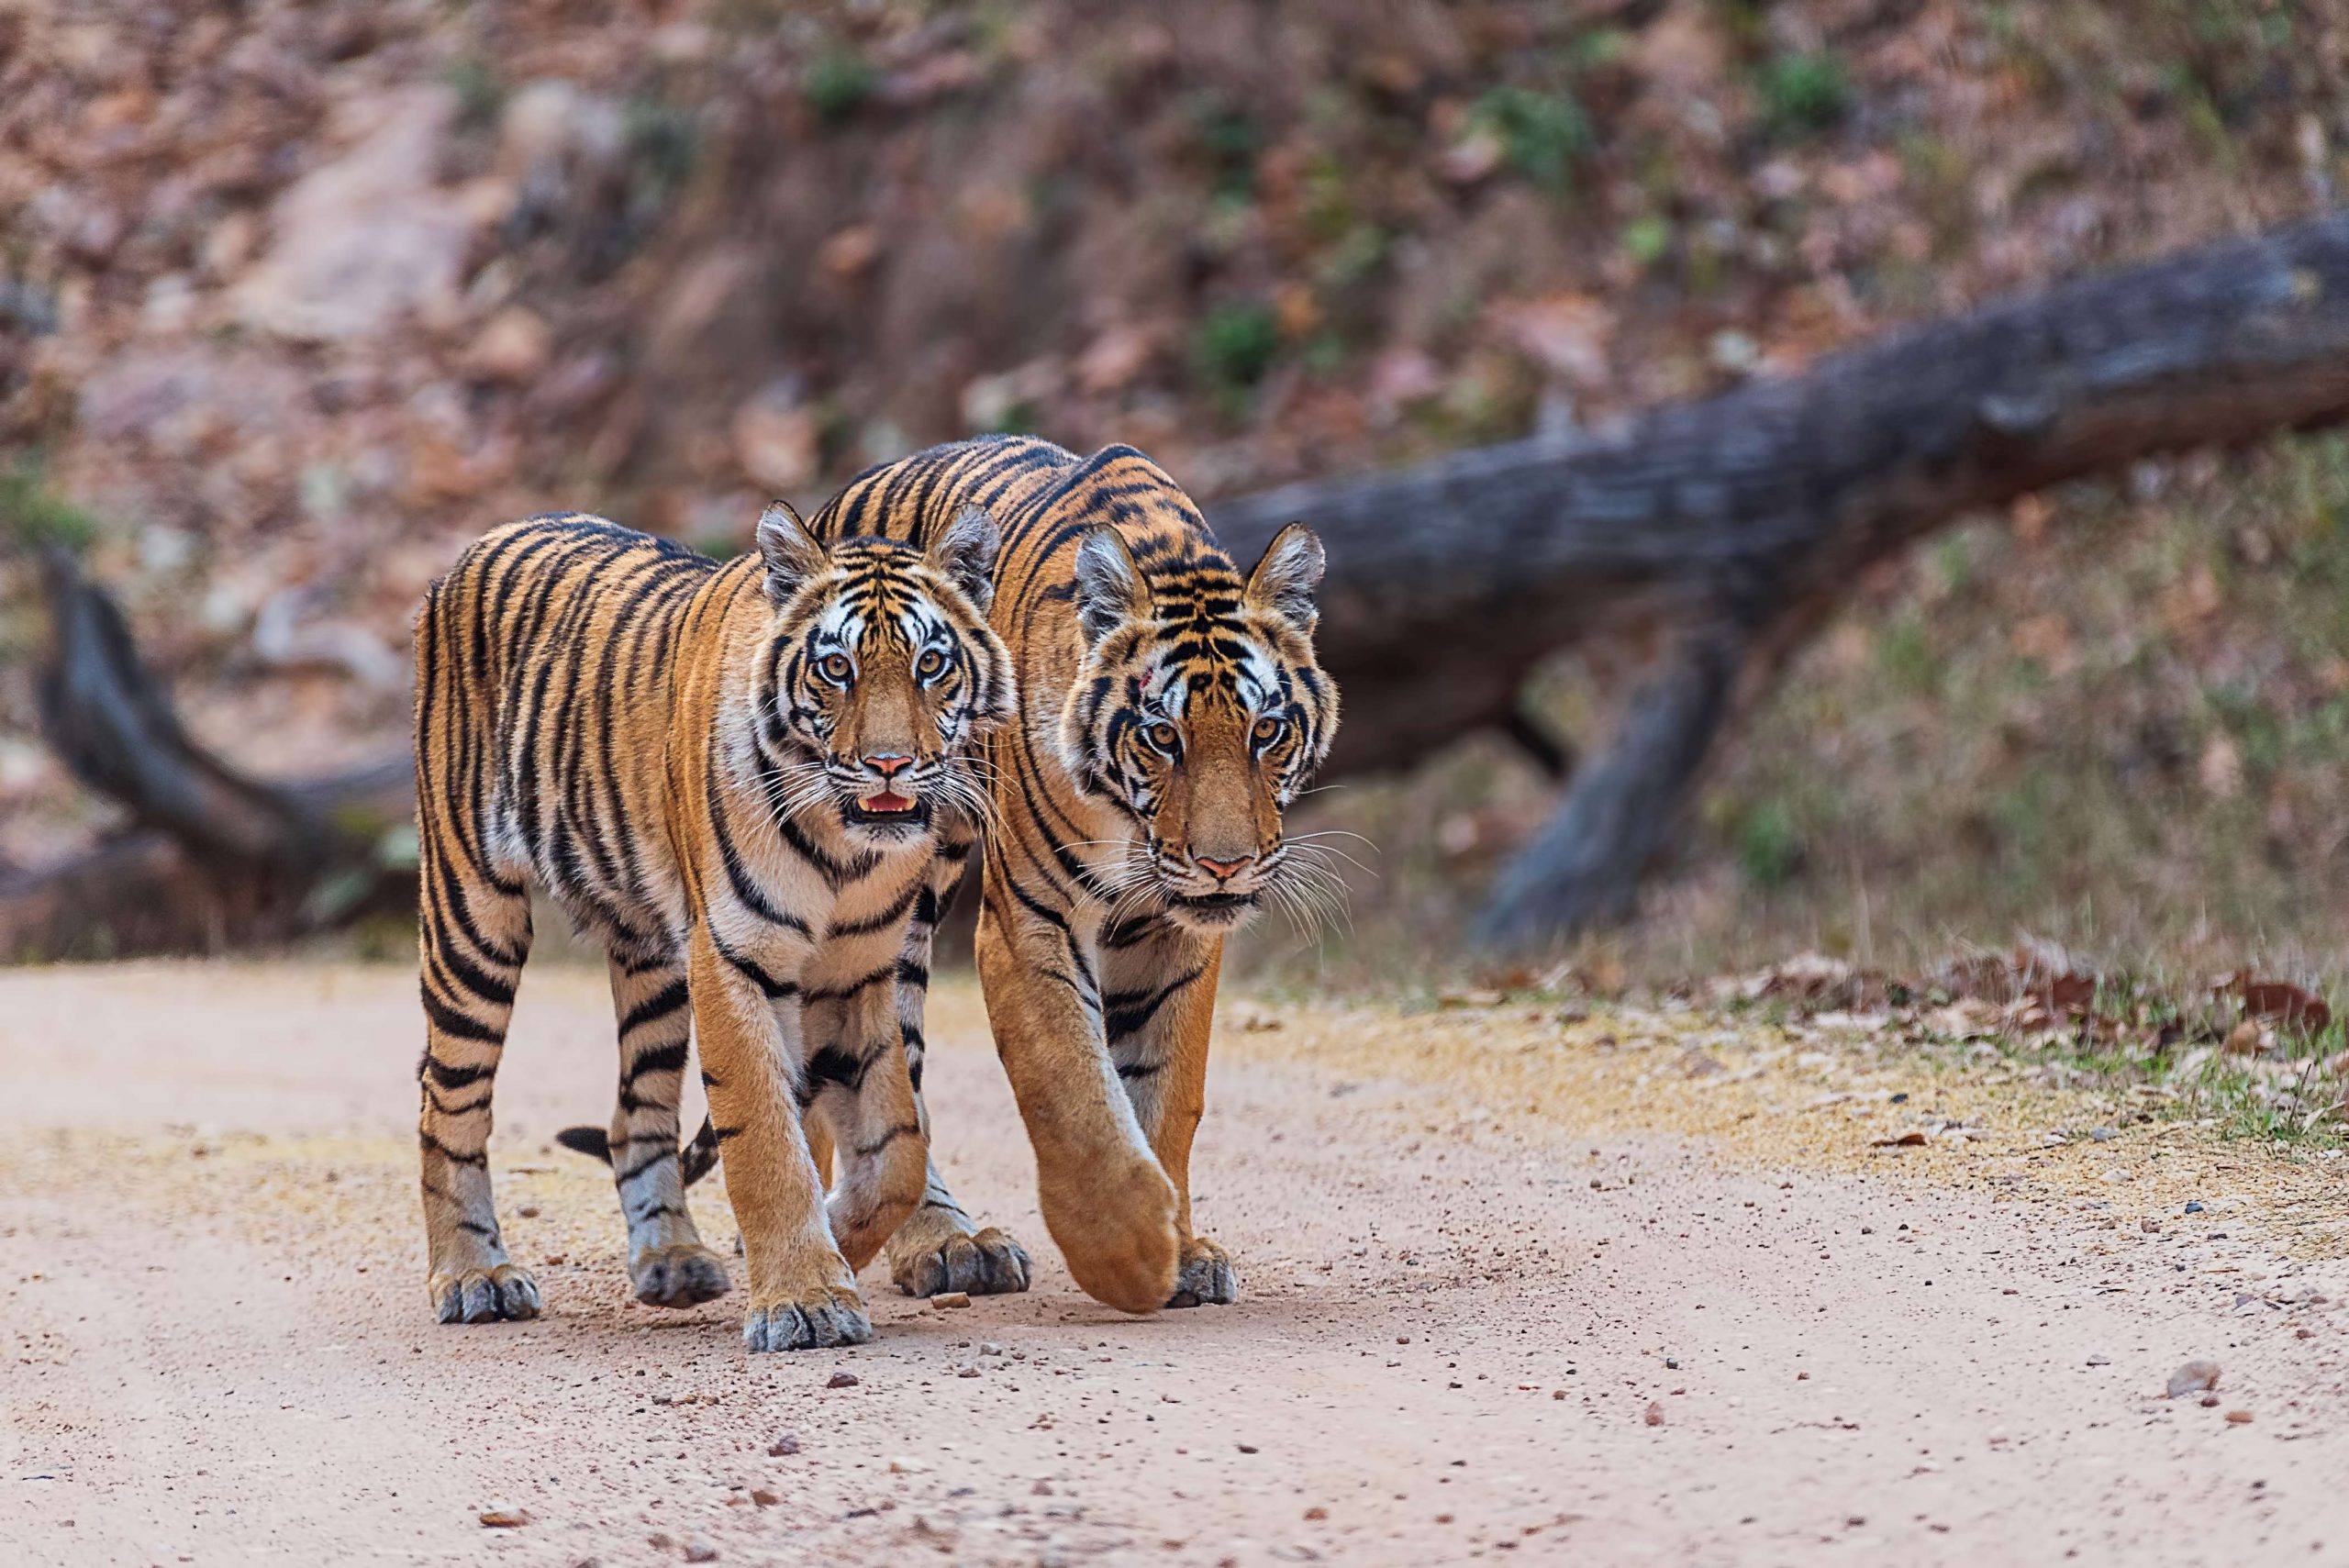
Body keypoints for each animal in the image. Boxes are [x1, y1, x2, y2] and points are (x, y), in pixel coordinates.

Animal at [411, 499, 1009, 1351]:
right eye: (836, 668)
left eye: (932, 663)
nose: (890, 764)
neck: (846, 850)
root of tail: (482, 540)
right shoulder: (733, 958)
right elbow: (765, 1138)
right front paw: (805, 1297)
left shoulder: (859, 968)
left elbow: (896, 1145)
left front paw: (839, 1236)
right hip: (473, 914)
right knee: (447, 1101)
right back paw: (473, 1275)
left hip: (651, 955)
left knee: (635, 1113)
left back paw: (672, 1258)